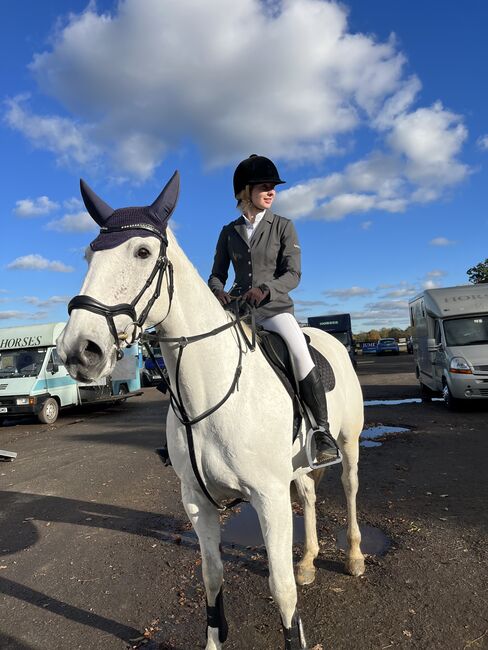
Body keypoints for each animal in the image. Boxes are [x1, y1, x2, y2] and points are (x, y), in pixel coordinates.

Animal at [57, 172, 364, 648]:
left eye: (143, 252)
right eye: (89, 254)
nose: (78, 350)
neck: (208, 395)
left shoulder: (268, 497)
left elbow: (280, 588)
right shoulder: (197, 502)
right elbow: (212, 577)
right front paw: (215, 637)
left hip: (348, 444)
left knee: (348, 488)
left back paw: (353, 557)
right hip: (294, 464)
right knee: (310, 495)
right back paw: (309, 561)